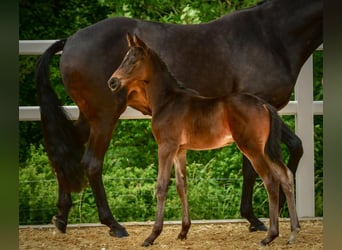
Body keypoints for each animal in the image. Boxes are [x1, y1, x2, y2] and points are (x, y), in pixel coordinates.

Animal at [109, 34, 300, 247]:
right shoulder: (180, 150)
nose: (112, 82)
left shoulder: (166, 147)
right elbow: (181, 186)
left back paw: (270, 235)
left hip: (252, 149)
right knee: (286, 175)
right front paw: (183, 231)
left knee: (271, 180)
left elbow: (161, 186)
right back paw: (293, 232)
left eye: (133, 61)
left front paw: (152, 236)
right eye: (124, 58)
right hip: (265, 149)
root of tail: (264, 104)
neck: (167, 101)